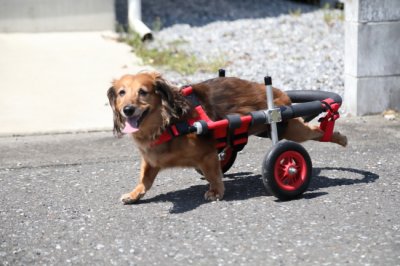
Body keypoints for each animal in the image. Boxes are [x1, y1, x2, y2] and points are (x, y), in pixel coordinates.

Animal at [107, 71, 346, 204]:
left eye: (143, 92)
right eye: (121, 93)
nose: (127, 109)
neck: (168, 124)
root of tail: (279, 92)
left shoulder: (206, 154)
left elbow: (214, 175)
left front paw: (215, 192)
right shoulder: (150, 160)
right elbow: (145, 181)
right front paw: (134, 194)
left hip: (284, 126)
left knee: (315, 130)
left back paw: (337, 135)